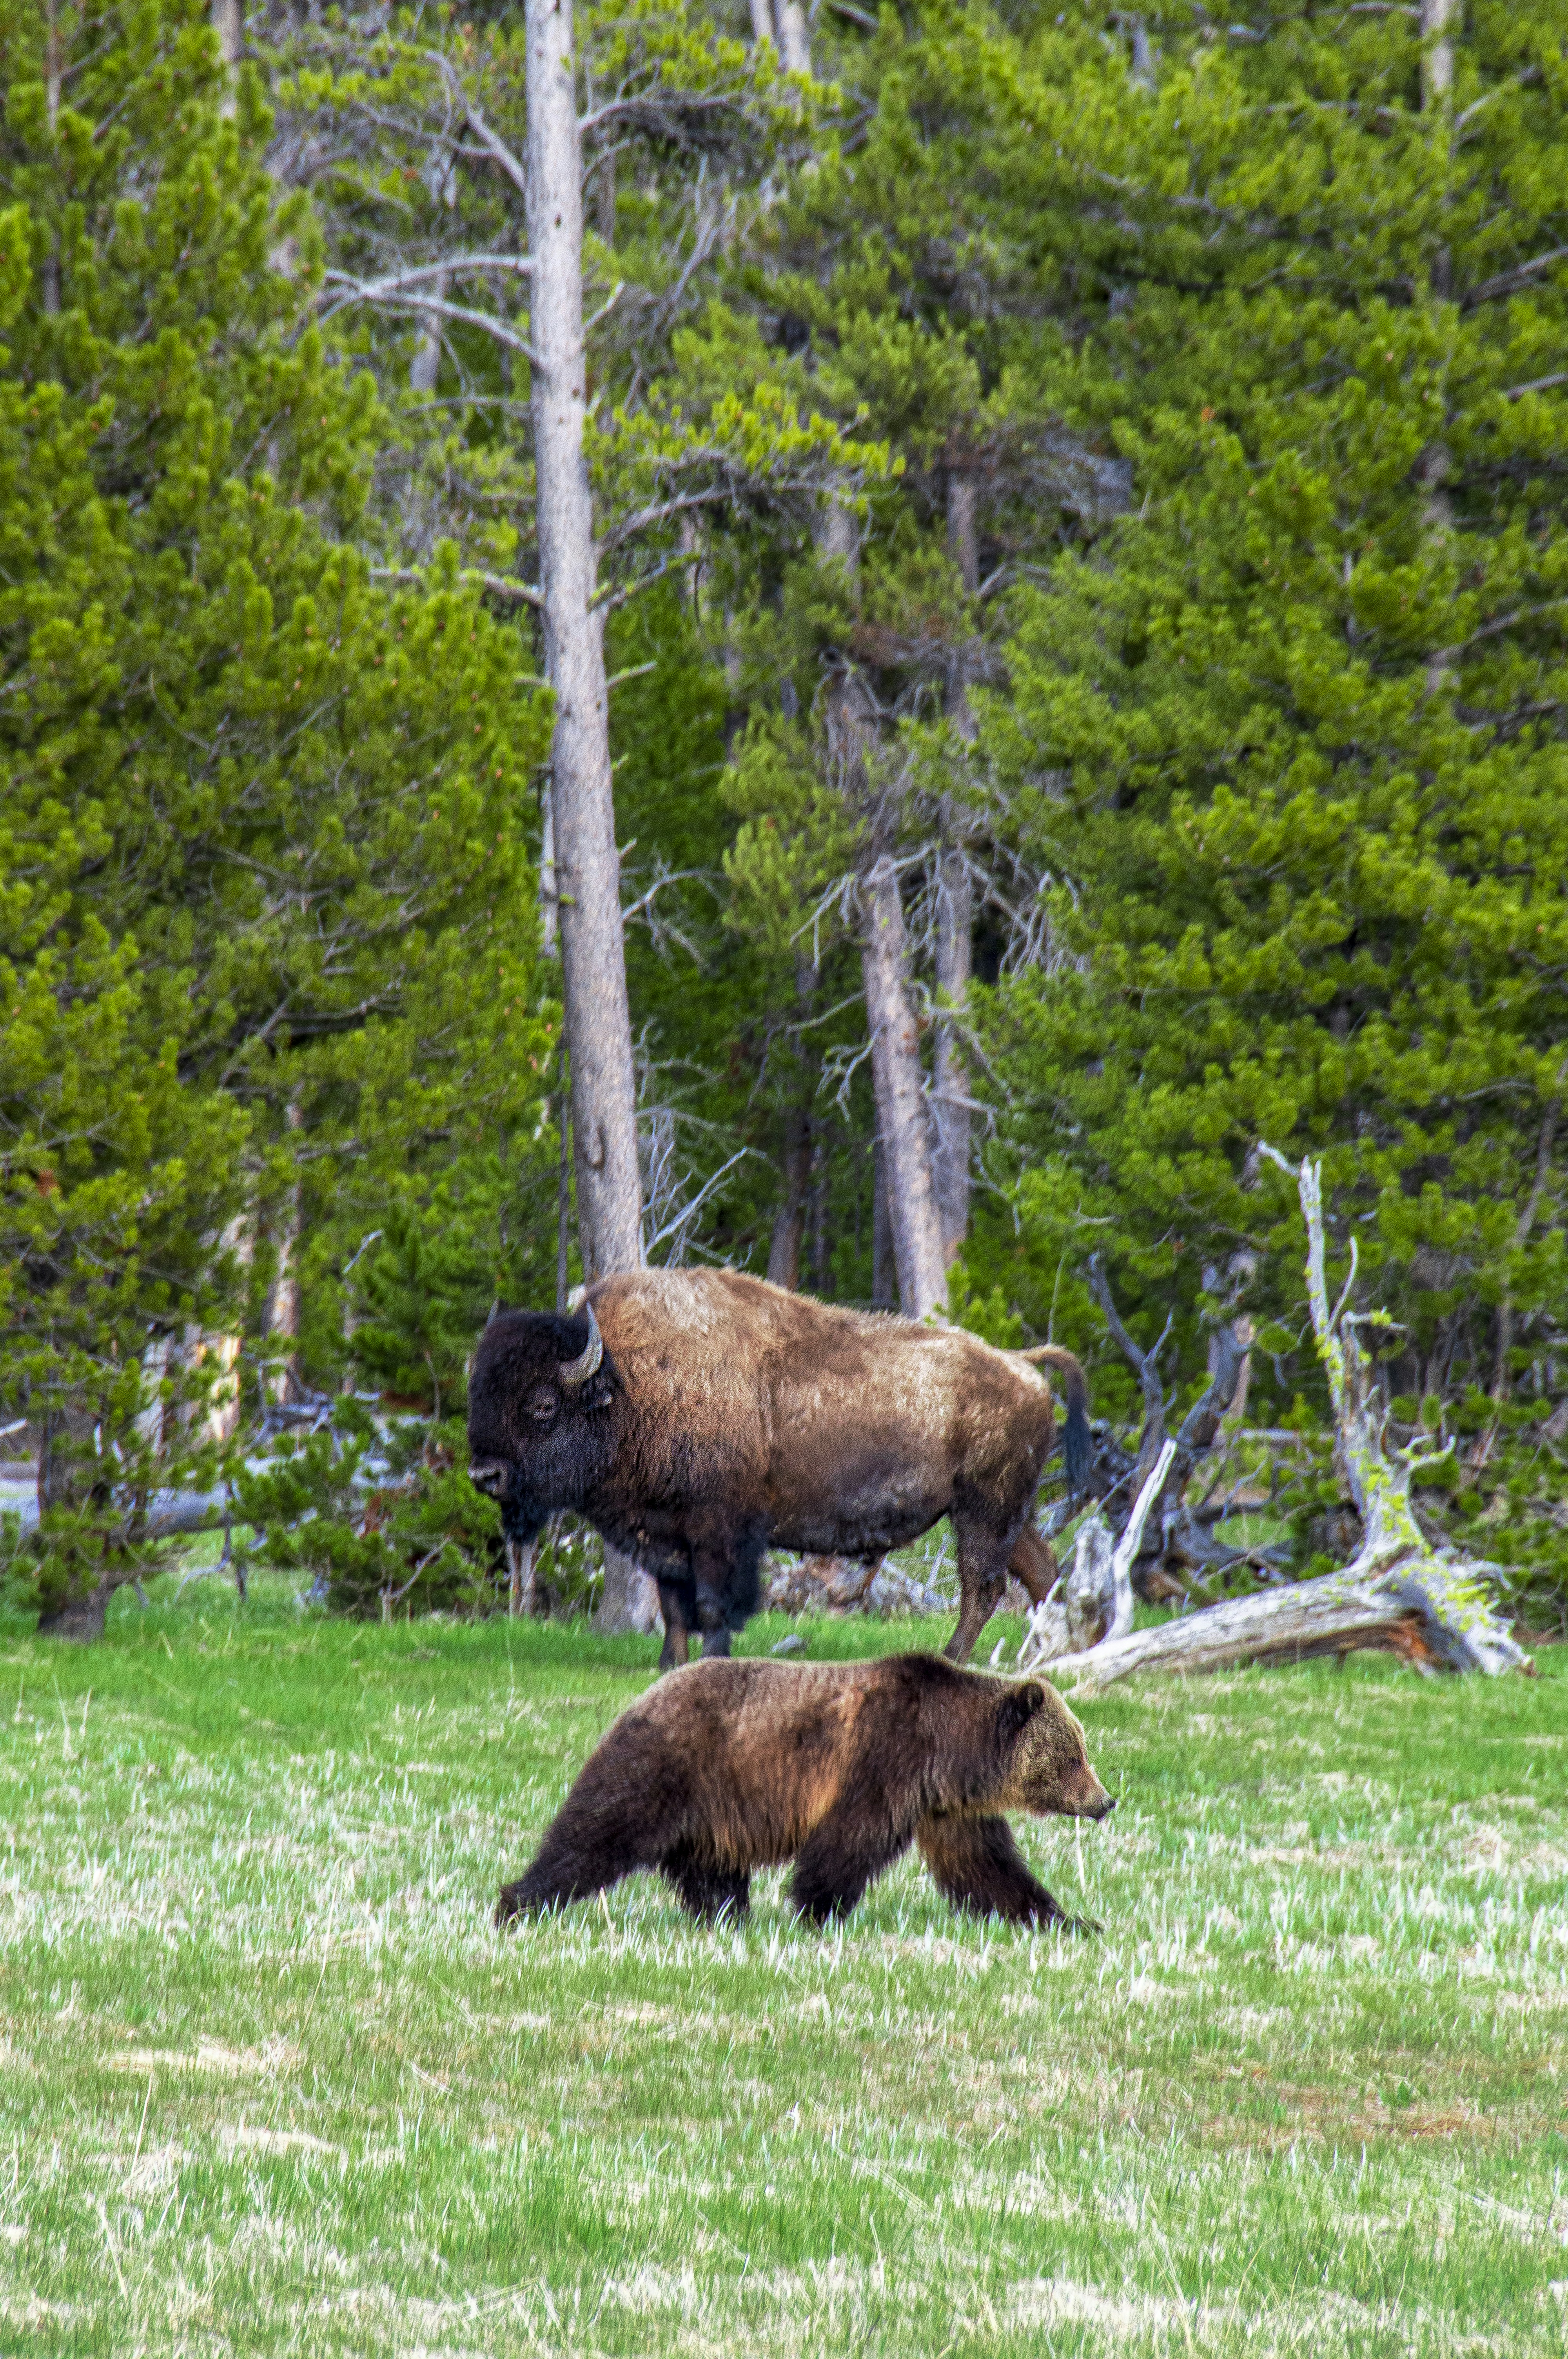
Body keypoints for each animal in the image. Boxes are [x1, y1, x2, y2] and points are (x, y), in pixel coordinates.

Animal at [467, 1267, 1089, 1668]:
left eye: (543, 1404)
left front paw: (710, 1661)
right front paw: (669, 1664)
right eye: (478, 1392)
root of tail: (1021, 1365)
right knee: (1040, 1571)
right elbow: (672, 1606)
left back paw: (955, 1658)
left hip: (982, 1509)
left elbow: (712, 1603)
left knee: (982, 1583)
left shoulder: (716, 1529)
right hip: (1008, 1512)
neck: (630, 1384)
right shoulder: (662, 1533)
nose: (484, 1477)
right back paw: (1057, 1652)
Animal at [494, 1653, 1115, 1932]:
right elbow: (848, 1840)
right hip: (671, 1764)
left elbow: (987, 1866)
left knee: (709, 1866)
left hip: (713, 1804)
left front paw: (1067, 1919)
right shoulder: (885, 1758)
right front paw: (817, 1909)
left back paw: (725, 1916)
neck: (951, 1748)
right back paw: (518, 1902)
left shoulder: (947, 1806)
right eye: (1074, 1755)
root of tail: (645, 1694)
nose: (1105, 1801)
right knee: (596, 1833)